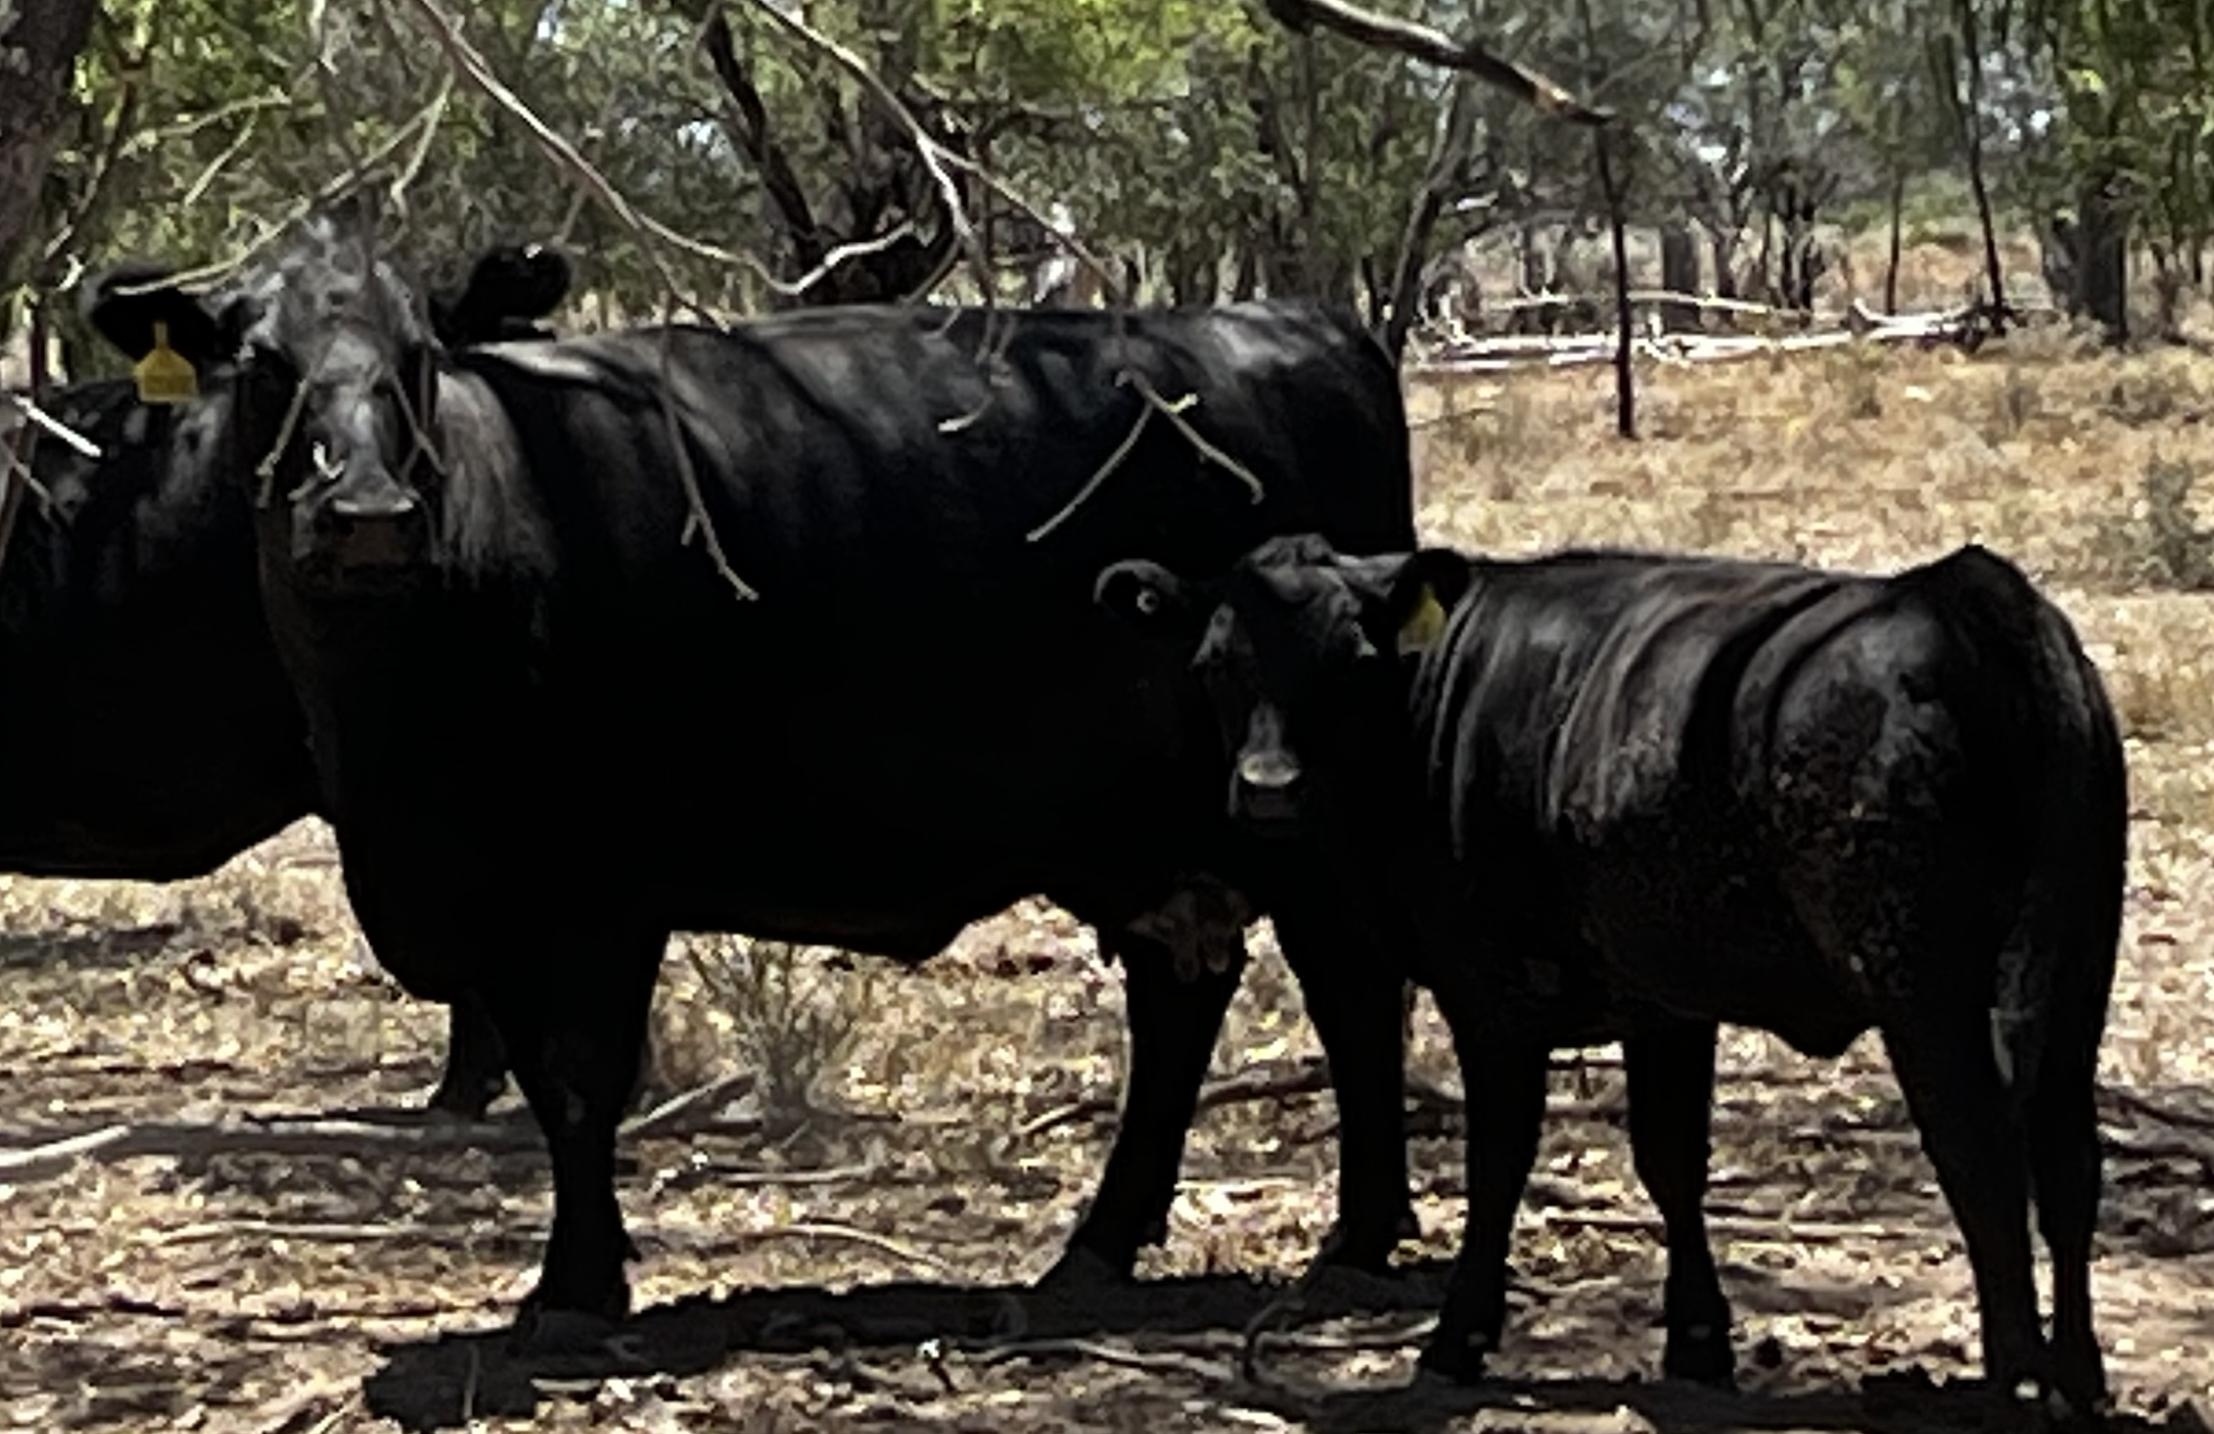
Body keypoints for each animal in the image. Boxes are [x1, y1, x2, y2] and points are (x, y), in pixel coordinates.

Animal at [83, 208, 1425, 1345]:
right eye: (263, 366)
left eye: (420, 357)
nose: (366, 511)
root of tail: (1294, 324)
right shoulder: (491, 906)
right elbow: (541, 1079)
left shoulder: (600, 886)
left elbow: (582, 1081)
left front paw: (575, 1287)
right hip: (1145, 831)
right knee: (1182, 998)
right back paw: (1099, 1246)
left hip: (1293, 810)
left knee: (1352, 994)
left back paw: (1356, 1243)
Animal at [1095, 533, 2124, 1419]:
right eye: (1215, 665)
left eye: (1349, 660)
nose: (1268, 787)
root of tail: (1962, 593)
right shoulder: (1666, 1000)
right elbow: (1671, 1161)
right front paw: (1699, 1342)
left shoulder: (1491, 990)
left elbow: (1500, 1160)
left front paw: (1458, 1337)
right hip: (2078, 978)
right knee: (2069, 1162)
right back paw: (2077, 1378)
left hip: (1927, 992)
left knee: (1984, 1163)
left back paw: (2013, 1384)